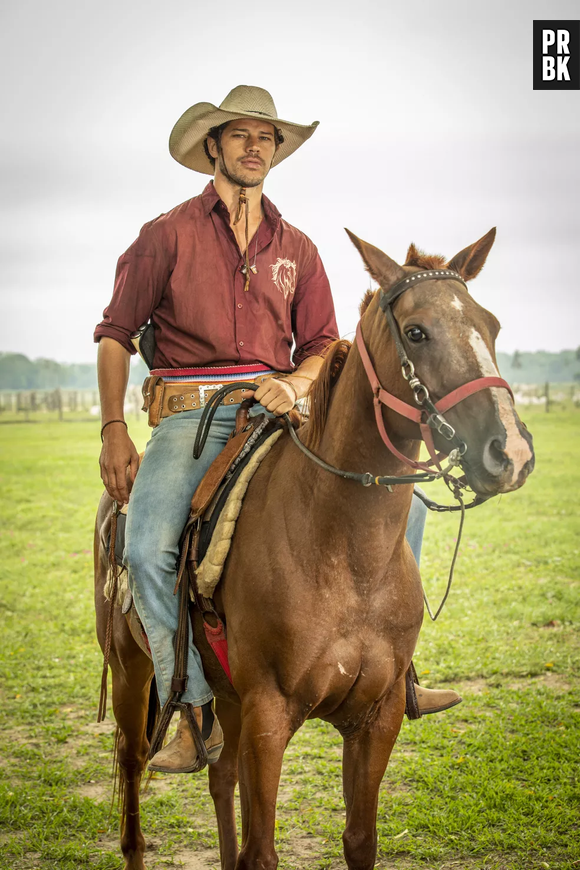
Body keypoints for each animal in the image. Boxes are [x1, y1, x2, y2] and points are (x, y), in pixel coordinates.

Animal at [94, 227, 536, 870]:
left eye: (492, 326)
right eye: (416, 332)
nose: (511, 453)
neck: (344, 556)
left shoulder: (375, 719)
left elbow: (357, 841)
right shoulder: (269, 715)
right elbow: (262, 851)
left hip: (227, 701)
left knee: (220, 778)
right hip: (133, 674)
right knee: (132, 773)